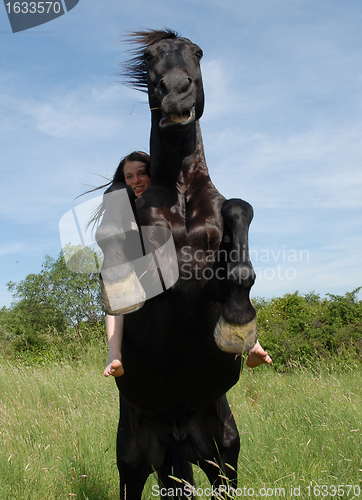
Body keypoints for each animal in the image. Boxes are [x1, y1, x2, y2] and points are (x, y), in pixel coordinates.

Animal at [97, 30, 258, 500]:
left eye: (198, 53)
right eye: (149, 57)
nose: (175, 90)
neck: (183, 195)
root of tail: (177, 426)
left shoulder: (211, 285)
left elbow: (240, 210)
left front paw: (240, 322)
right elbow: (116, 223)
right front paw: (120, 287)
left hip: (223, 451)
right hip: (134, 459)